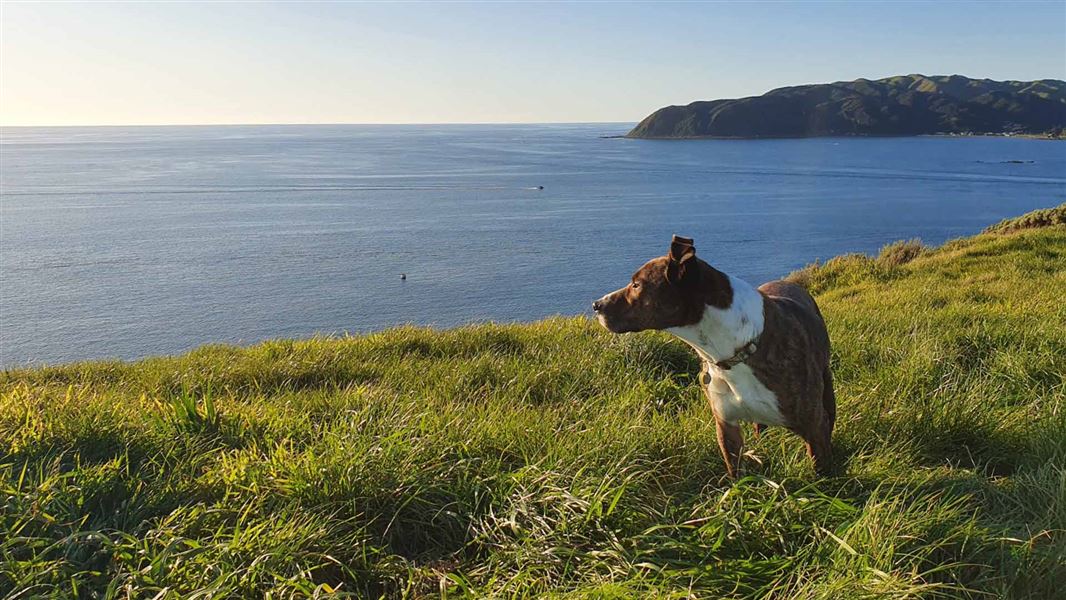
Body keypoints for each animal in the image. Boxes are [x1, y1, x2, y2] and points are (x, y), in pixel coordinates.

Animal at [592, 237, 831, 477]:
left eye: (637, 285)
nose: (596, 305)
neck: (732, 351)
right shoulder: (726, 427)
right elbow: (735, 472)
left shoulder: (814, 429)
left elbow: (820, 471)